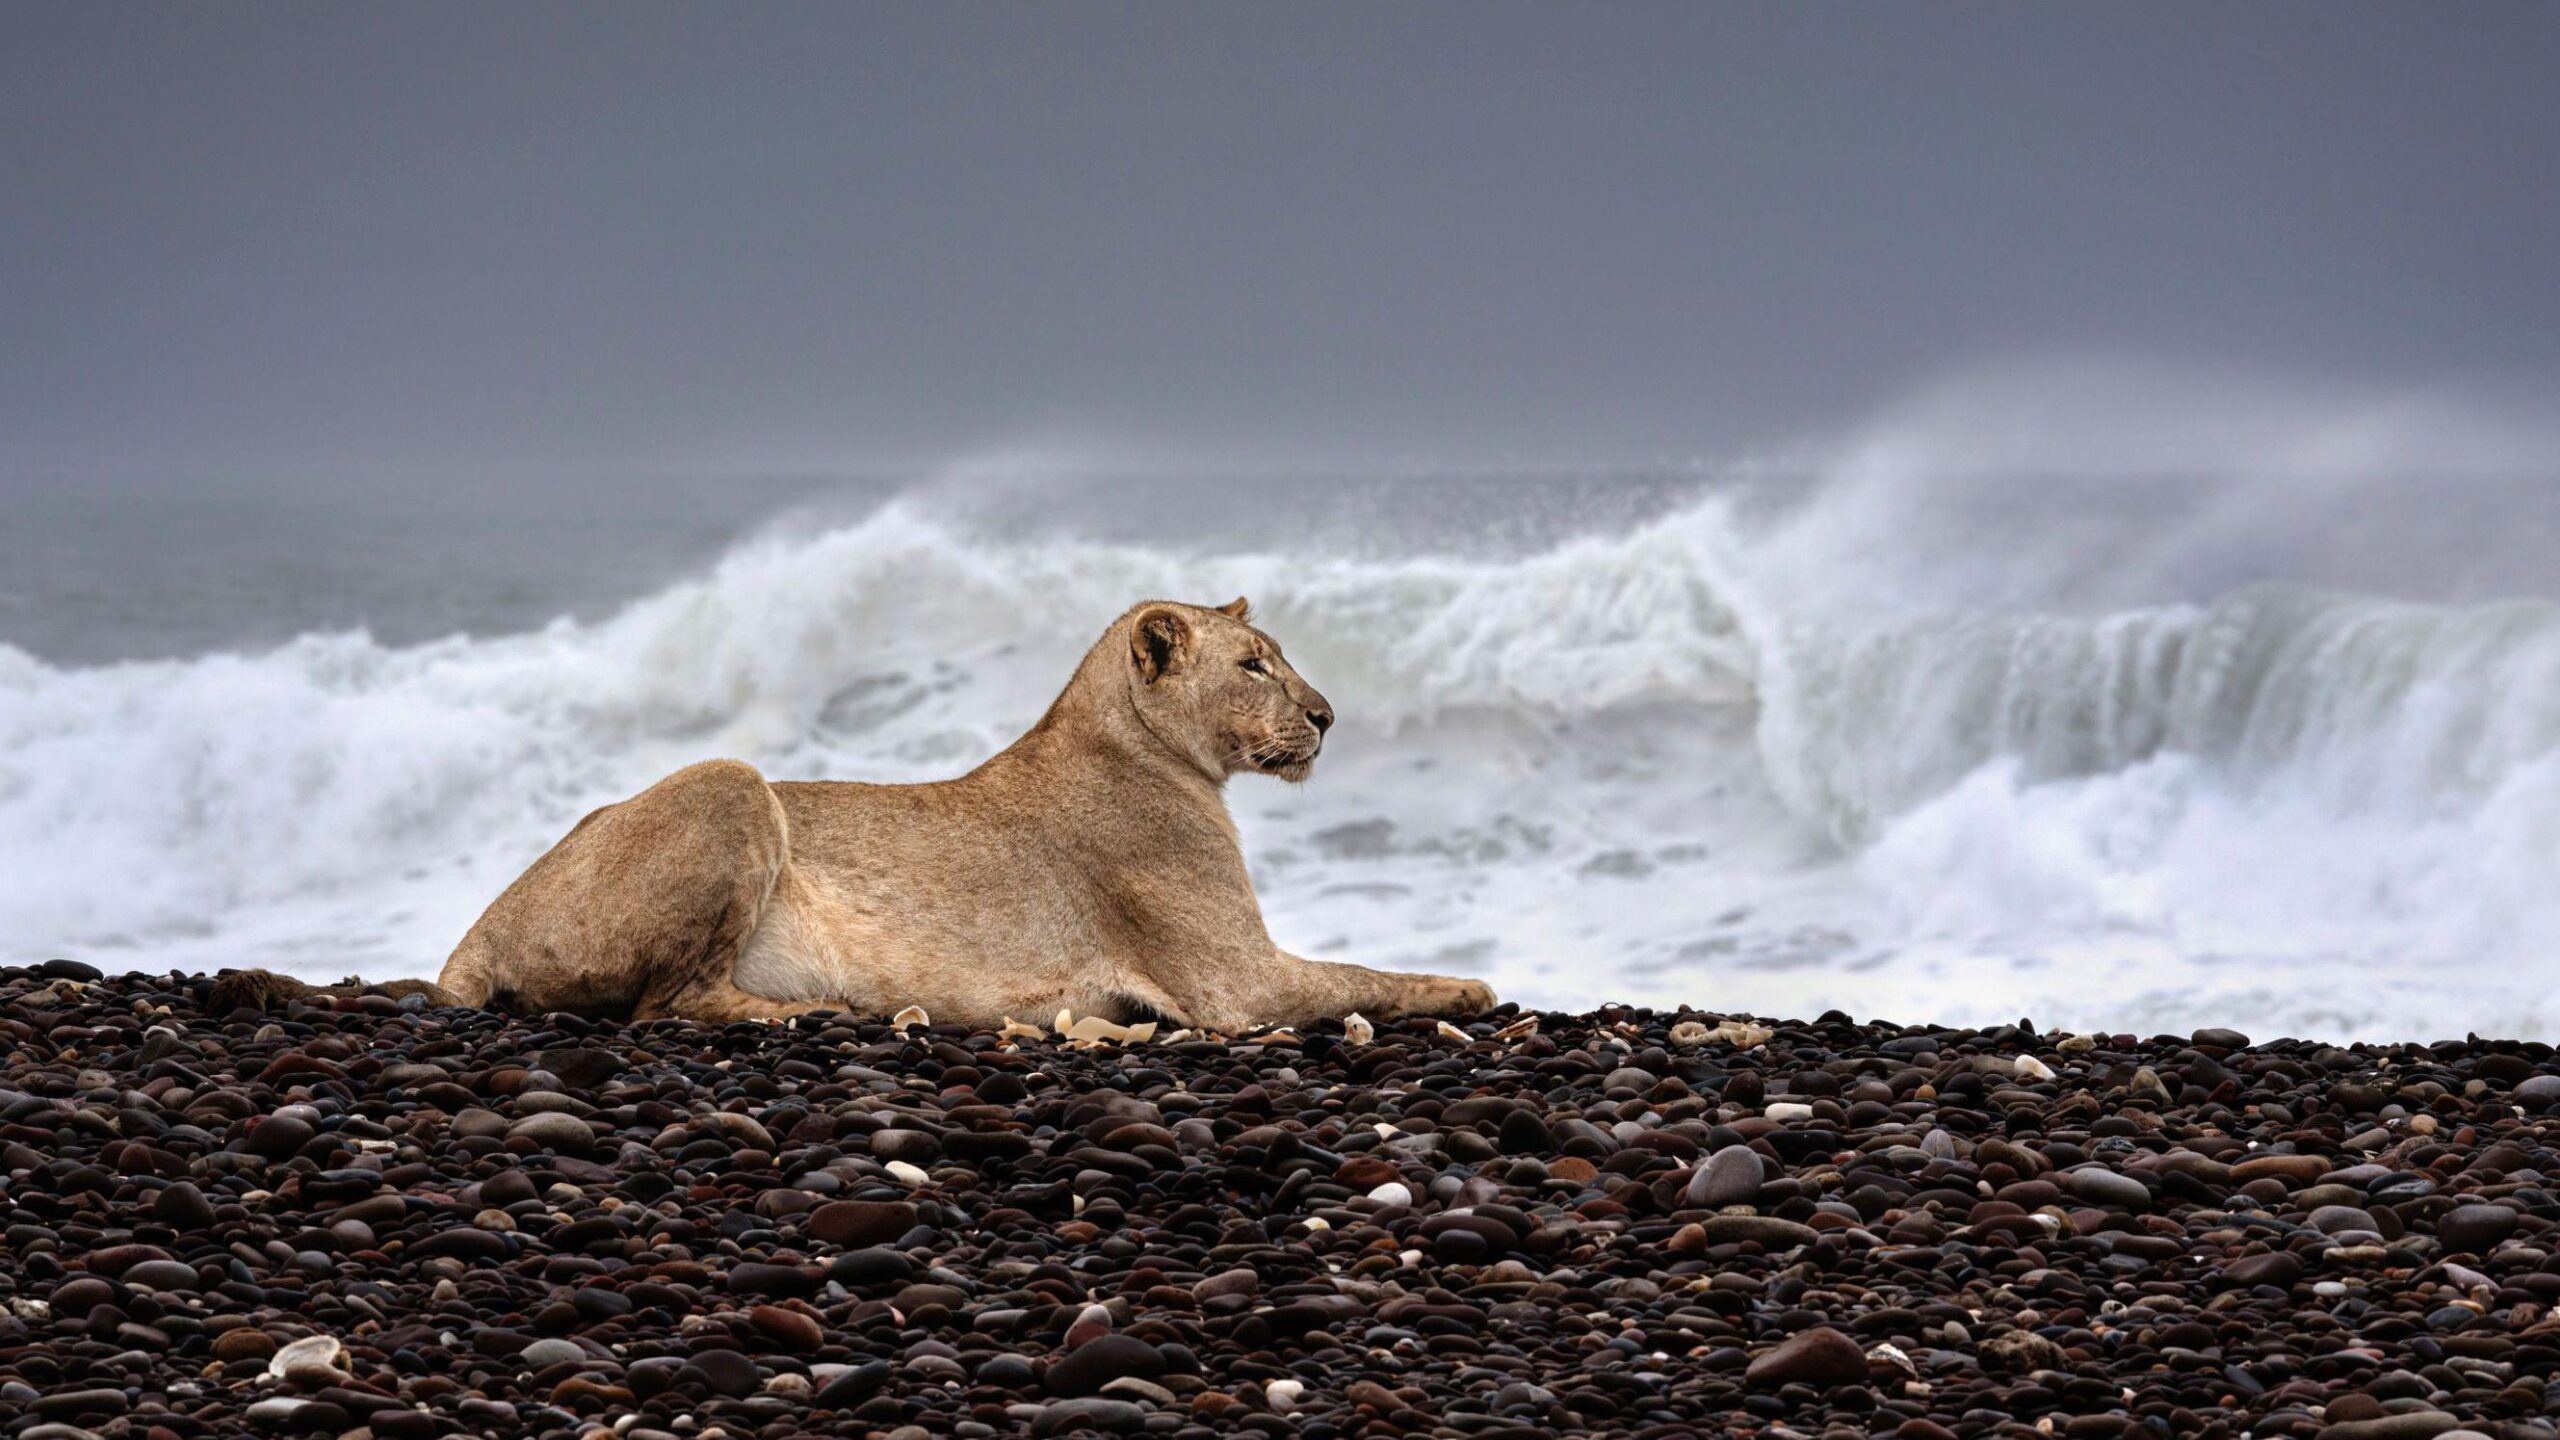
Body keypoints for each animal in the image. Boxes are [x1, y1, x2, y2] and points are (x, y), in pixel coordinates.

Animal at [210, 598, 1497, 1031]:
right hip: (729, 780)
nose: (1329, 715)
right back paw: (837, 1013)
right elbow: (1374, 976)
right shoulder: (1238, 984)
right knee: (669, 1006)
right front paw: (1476, 986)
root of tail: (475, 930)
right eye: (1253, 666)